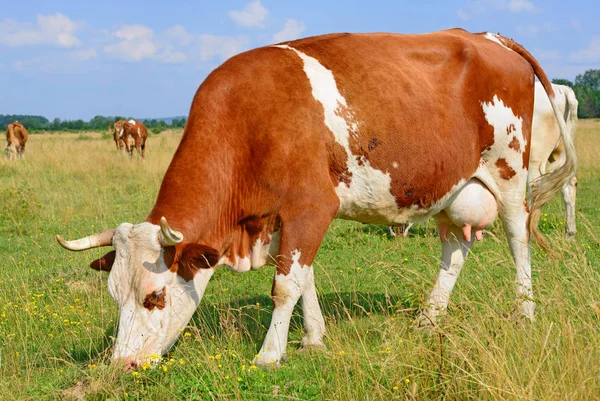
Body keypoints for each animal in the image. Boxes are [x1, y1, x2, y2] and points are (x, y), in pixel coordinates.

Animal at [57, 29, 576, 370]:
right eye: (114, 295)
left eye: (155, 296)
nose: (121, 365)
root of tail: (489, 36)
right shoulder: (281, 218)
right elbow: (303, 276)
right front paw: (313, 339)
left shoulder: (311, 208)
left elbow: (285, 285)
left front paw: (270, 354)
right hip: (453, 188)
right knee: (455, 249)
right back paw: (429, 320)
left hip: (509, 173)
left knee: (518, 239)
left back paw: (524, 313)